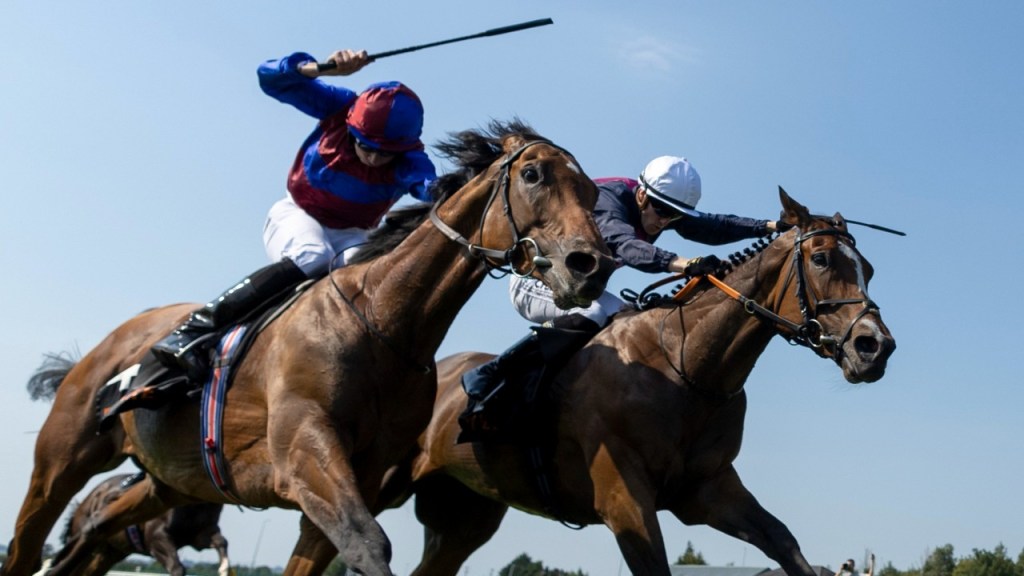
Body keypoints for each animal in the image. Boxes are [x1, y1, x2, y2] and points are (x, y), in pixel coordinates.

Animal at [61, 474, 231, 576]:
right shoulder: (156, 537)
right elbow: (177, 568)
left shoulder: (200, 534)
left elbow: (221, 541)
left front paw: (224, 568)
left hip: (107, 553)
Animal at [373, 189, 896, 576]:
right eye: (822, 259)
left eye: (868, 269)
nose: (876, 347)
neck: (685, 366)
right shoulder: (624, 500)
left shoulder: (708, 489)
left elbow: (784, 542)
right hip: (387, 481)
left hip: (465, 512)